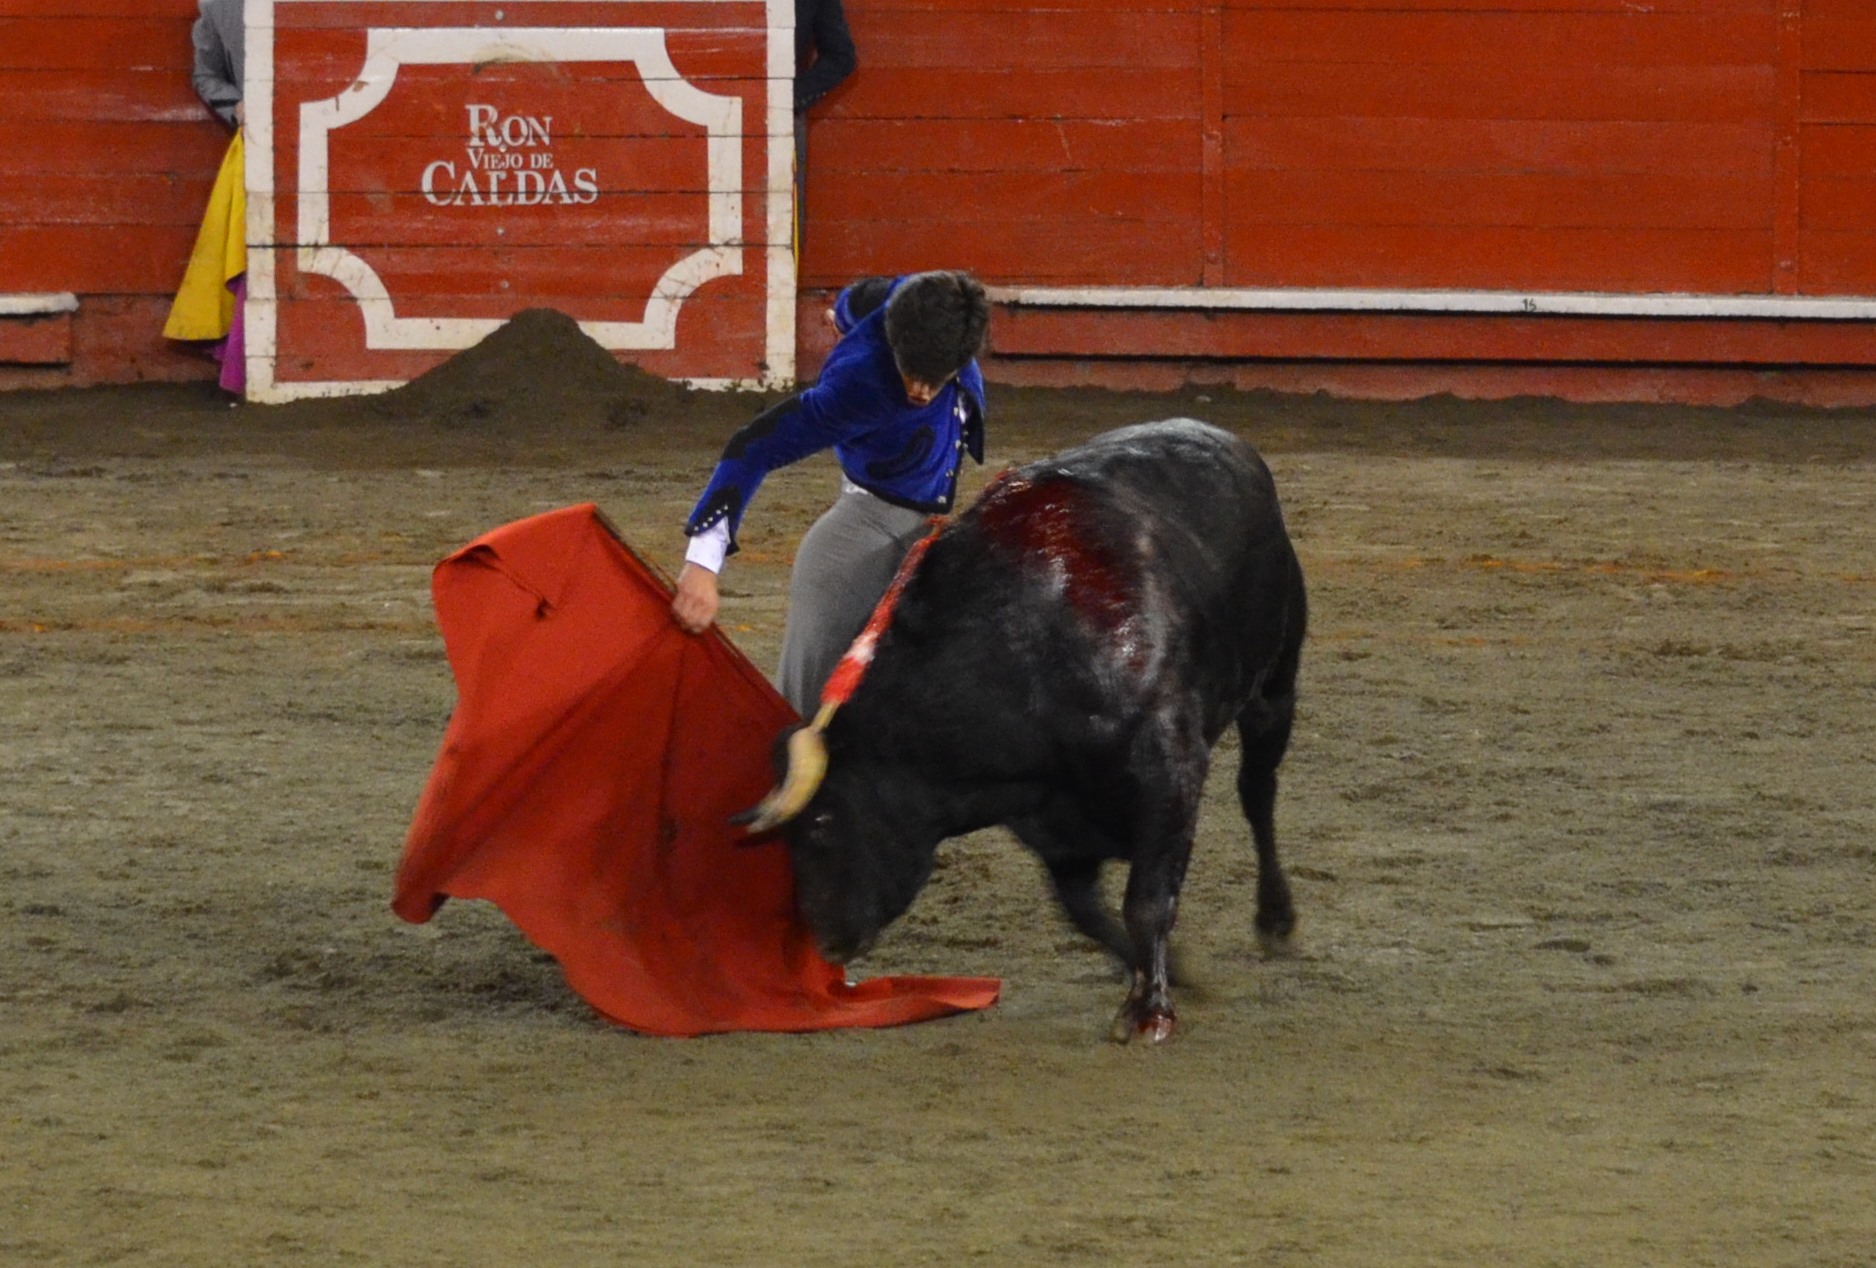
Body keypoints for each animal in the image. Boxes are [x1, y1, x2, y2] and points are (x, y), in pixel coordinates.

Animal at [738, 419, 1307, 1042]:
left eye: (819, 826)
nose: (826, 944)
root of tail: (1228, 442)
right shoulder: (1048, 820)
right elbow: (1087, 912)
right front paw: (1171, 975)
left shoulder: (1171, 768)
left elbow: (1148, 900)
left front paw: (1149, 1011)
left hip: (1274, 689)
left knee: (1257, 792)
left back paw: (1276, 918)